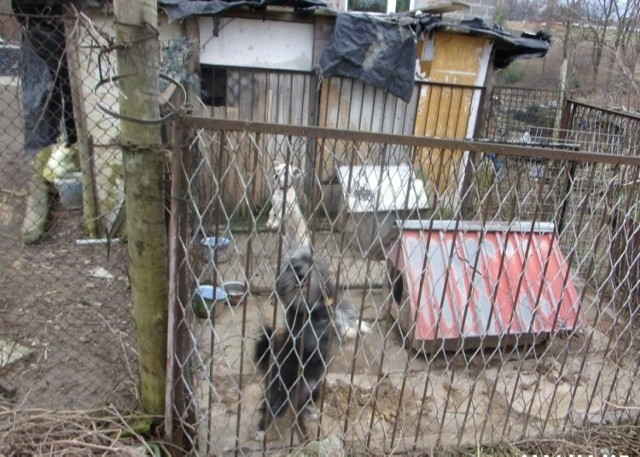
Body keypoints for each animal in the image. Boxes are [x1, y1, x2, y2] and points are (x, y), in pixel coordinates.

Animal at [254, 246, 356, 438]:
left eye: (308, 260)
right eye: (290, 264)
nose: (298, 271)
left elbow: (343, 317)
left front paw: (354, 327)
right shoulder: (306, 334)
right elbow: (326, 327)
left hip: (313, 390)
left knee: (301, 405)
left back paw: (310, 412)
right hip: (280, 393)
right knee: (269, 409)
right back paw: (261, 431)